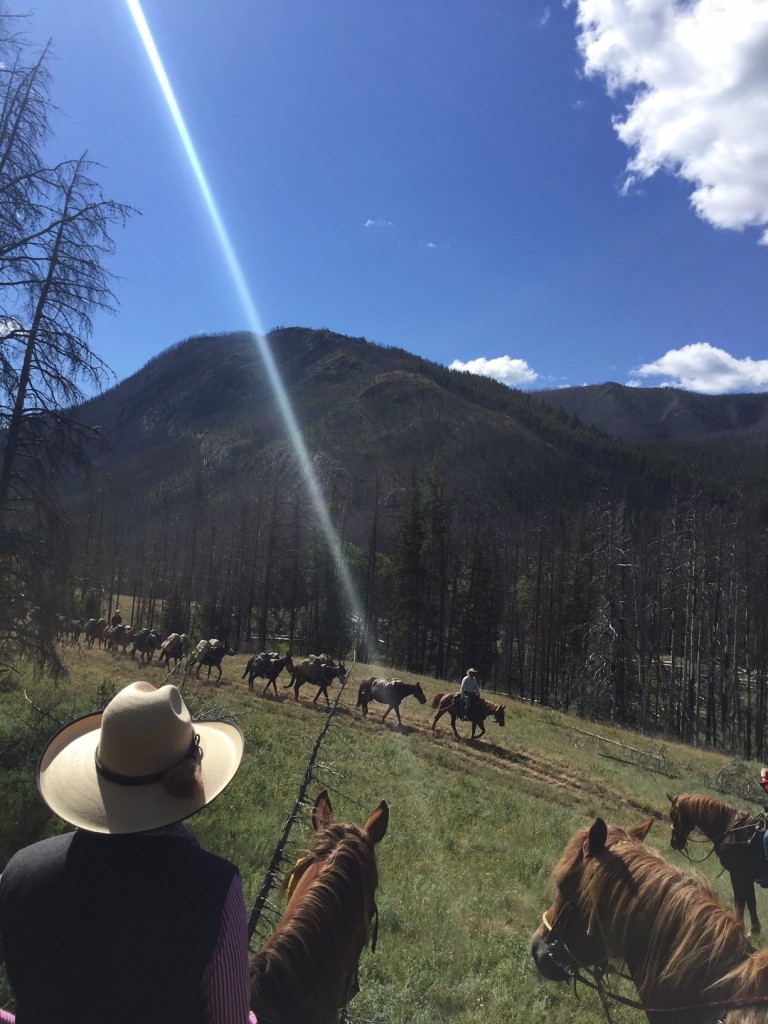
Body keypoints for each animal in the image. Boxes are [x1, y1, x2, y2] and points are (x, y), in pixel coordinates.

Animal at [667, 790, 768, 937]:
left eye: (674, 815)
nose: (674, 842)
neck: (732, 832)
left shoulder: (738, 874)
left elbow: (741, 901)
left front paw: (741, 927)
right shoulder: (745, 877)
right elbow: (750, 901)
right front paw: (754, 930)